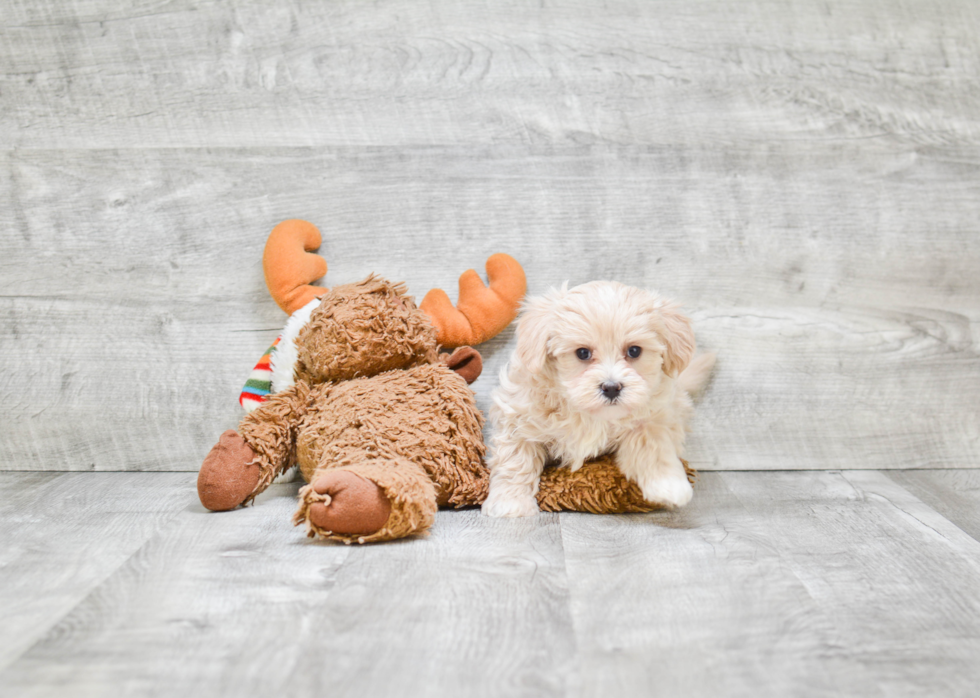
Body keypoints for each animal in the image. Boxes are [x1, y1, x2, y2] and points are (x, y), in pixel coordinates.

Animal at [480, 278, 712, 516]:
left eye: (634, 351)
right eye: (583, 353)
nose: (611, 388)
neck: (588, 413)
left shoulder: (652, 417)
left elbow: (653, 446)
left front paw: (668, 485)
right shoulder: (518, 417)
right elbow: (516, 460)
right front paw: (510, 502)